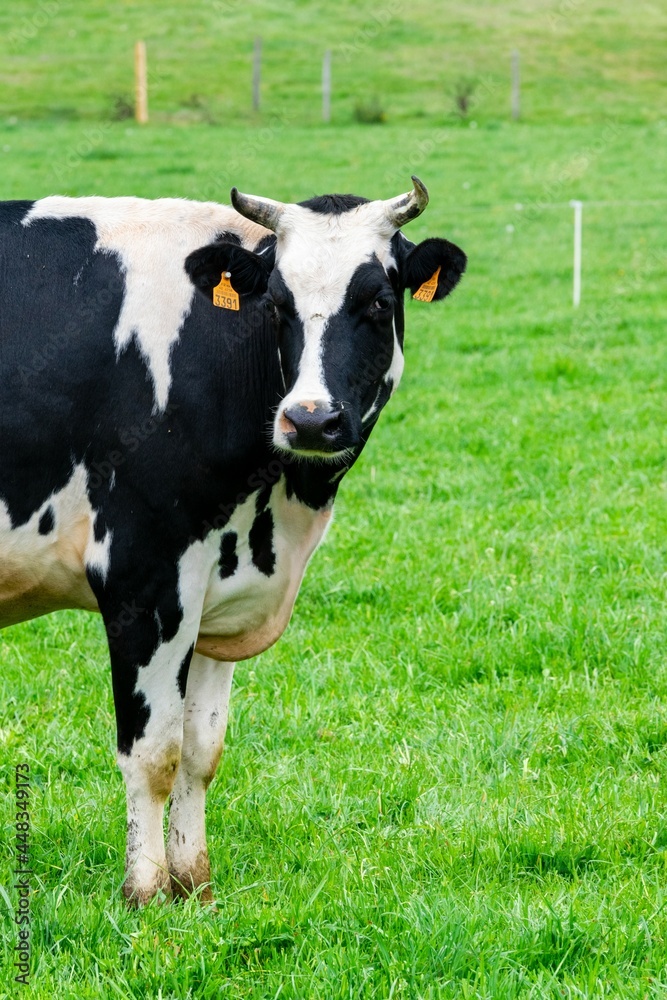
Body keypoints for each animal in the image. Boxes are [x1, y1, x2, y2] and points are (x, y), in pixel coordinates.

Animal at [0, 180, 468, 908]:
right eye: (276, 305)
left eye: (378, 301)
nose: (310, 419)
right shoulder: (143, 574)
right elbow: (153, 753)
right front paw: (144, 892)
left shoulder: (214, 595)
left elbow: (201, 750)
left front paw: (194, 884)